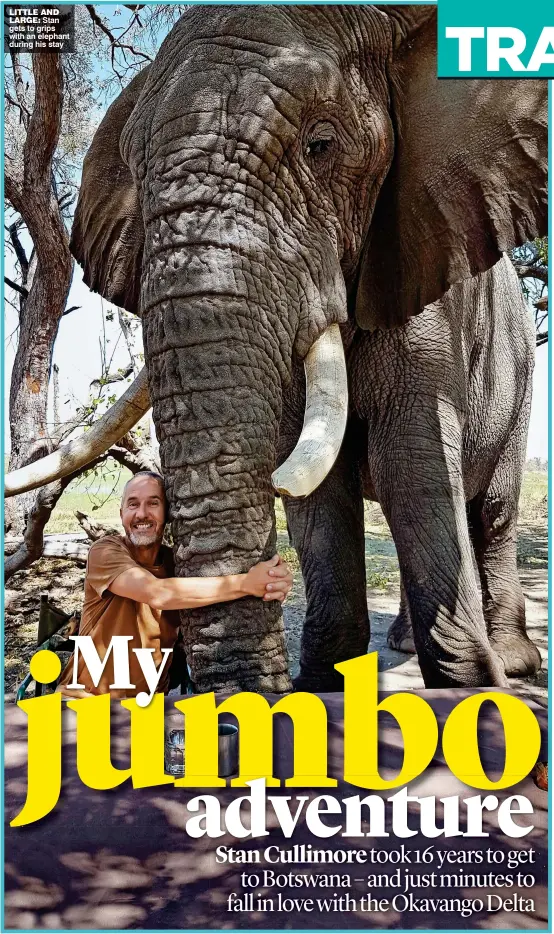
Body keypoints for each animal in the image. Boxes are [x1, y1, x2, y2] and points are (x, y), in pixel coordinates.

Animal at [10, 3, 544, 692]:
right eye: (138, 174)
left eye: (321, 146)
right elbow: (321, 490)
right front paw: (325, 687)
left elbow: (412, 463)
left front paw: (471, 692)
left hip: (519, 376)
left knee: (493, 512)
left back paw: (513, 661)